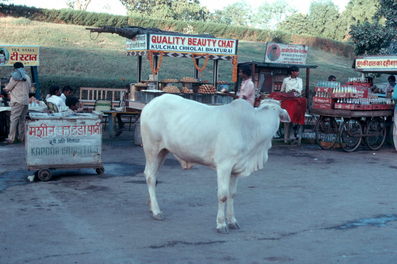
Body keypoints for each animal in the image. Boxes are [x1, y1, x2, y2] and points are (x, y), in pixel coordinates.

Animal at [141, 93, 290, 233]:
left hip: (163, 151)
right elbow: (223, 195)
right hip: (151, 149)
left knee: (154, 176)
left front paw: (232, 221)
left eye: (277, 111)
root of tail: (152, 103)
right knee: (150, 176)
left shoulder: (235, 169)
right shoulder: (224, 165)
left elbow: (232, 194)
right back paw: (156, 211)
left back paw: (151, 206)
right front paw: (221, 224)